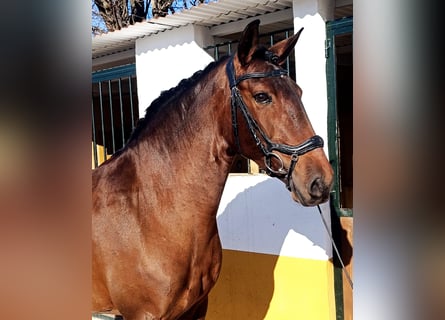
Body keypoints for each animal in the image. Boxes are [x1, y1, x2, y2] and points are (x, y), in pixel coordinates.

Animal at [92, 20, 332, 320]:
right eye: (262, 96)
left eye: (298, 93)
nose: (321, 180)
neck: (149, 209)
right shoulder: (143, 314)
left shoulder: (196, 308)